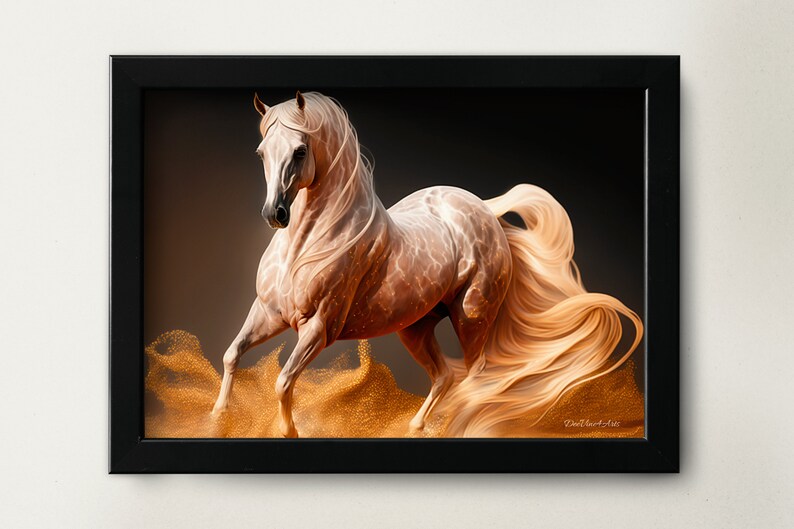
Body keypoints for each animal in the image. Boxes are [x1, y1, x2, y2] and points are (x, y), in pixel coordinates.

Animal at [210, 91, 643, 438]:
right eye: (261, 152)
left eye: (300, 151)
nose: (275, 213)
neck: (307, 246)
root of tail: (485, 212)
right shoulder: (268, 313)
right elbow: (232, 354)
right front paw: (217, 417)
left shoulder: (319, 328)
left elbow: (283, 382)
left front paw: (287, 430)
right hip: (415, 329)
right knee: (444, 376)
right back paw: (416, 426)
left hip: (471, 320)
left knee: (476, 376)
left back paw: (460, 425)